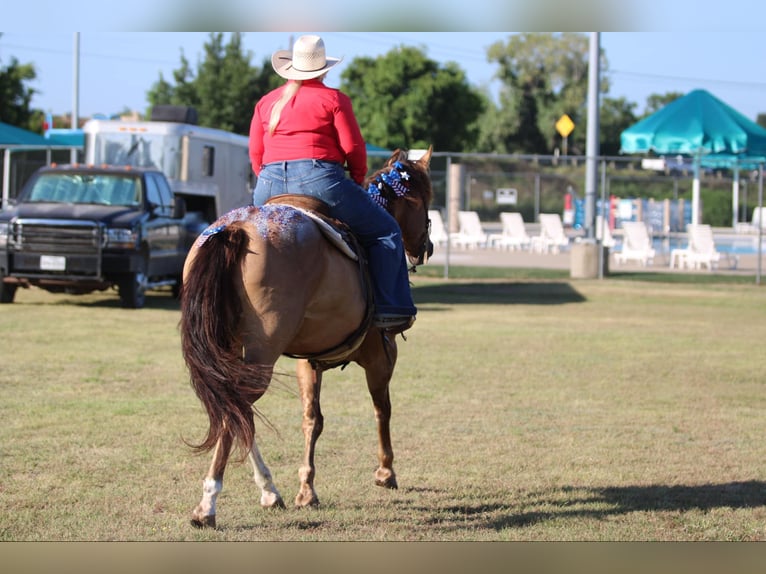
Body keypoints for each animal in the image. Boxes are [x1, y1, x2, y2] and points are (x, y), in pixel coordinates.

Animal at [177, 148, 436, 532]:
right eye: (425, 199)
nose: (426, 247)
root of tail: (238, 229)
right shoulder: (381, 357)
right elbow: (382, 409)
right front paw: (385, 472)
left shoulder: (308, 363)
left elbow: (312, 420)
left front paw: (306, 490)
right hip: (262, 350)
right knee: (236, 410)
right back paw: (208, 503)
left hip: (230, 347)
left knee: (236, 410)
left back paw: (269, 491)